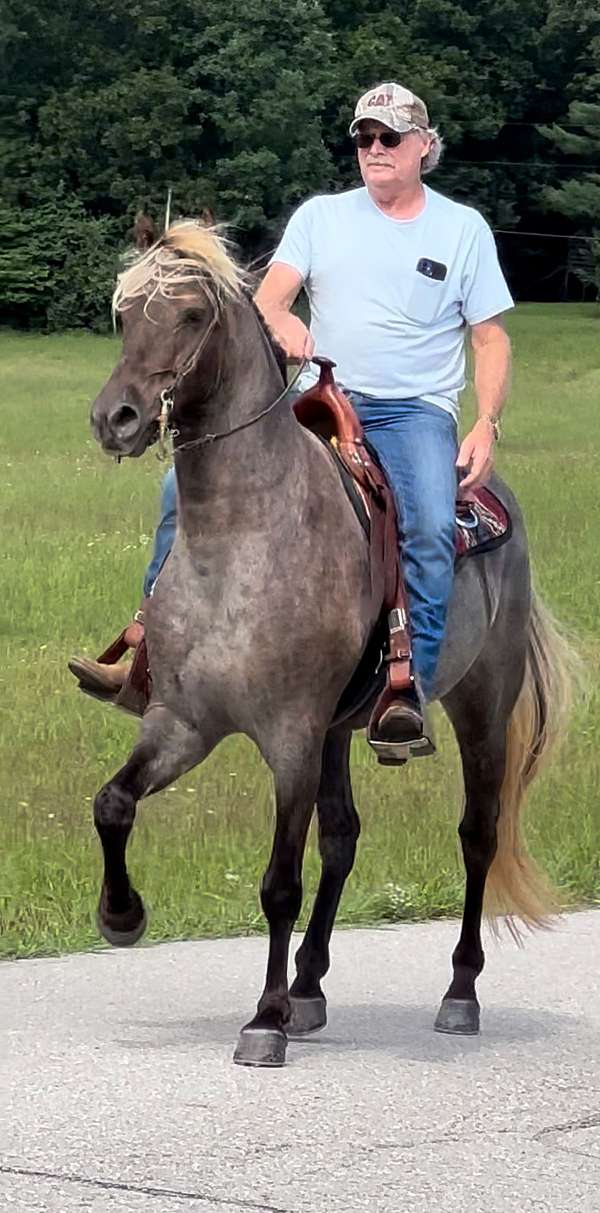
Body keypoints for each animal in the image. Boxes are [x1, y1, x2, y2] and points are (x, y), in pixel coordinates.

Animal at [89, 223, 572, 1067]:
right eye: (124, 313)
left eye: (190, 315)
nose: (115, 417)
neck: (242, 536)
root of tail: (493, 492)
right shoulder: (184, 723)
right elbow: (113, 802)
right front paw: (123, 915)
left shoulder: (290, 736)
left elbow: (279, 879)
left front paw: (264, 1020)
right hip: (341, 730)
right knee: (344, 837)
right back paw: (310, 985)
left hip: (480, 706)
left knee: (477, 835)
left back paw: (458, 992)